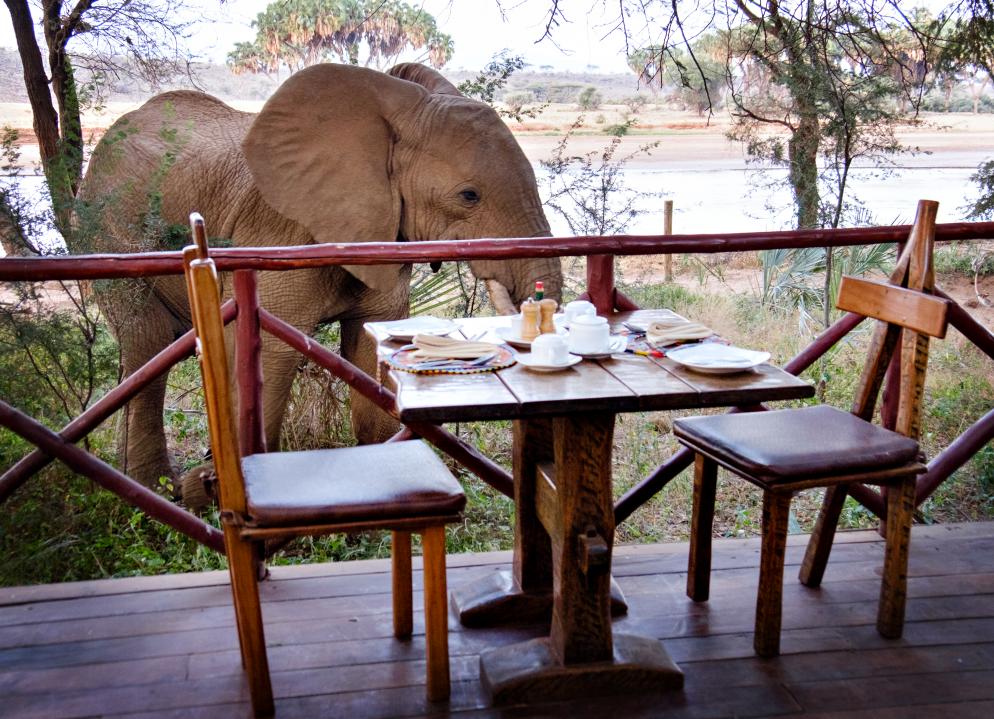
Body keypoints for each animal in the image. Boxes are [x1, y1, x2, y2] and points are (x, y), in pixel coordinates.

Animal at [76, 62, 562, 490]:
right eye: (468, 195)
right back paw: (153, 488)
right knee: (147, 340)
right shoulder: (277, 232)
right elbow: (270, 356)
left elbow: (370, 356)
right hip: (109, 228)